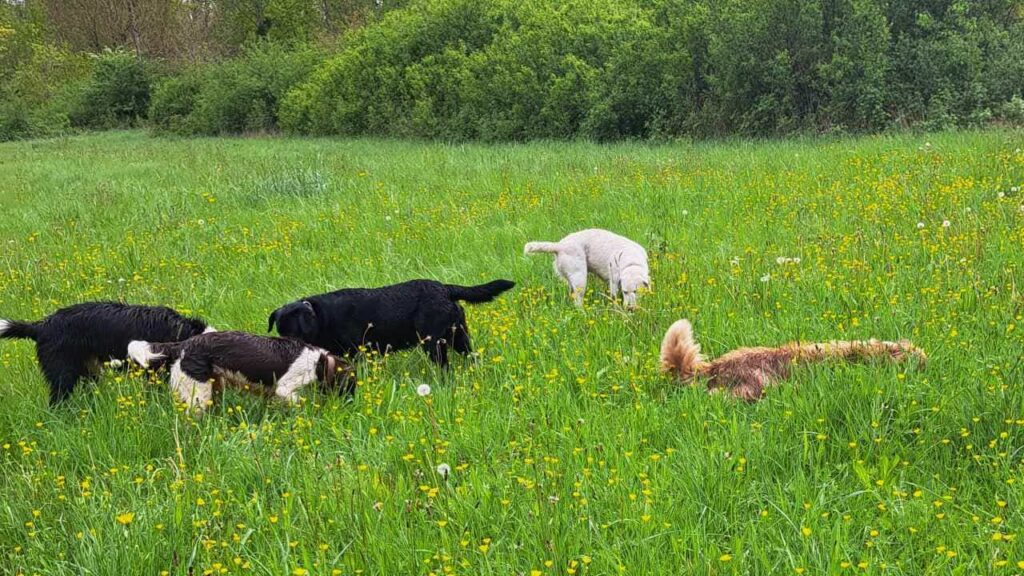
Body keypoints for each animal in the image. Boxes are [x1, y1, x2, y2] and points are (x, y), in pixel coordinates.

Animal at [127, 327, 354, 412]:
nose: (352, 403)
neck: (319, 361)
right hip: (198, 393)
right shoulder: (285, 389)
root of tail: (182, 346)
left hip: (214, 385)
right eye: (351, 384)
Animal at [268, 278, 516, 366]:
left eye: (293, 332)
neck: (321, 317)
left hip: (433, 344)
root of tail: (444, 288)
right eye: (280, 332)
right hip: (459, 338)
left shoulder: (356, 353)